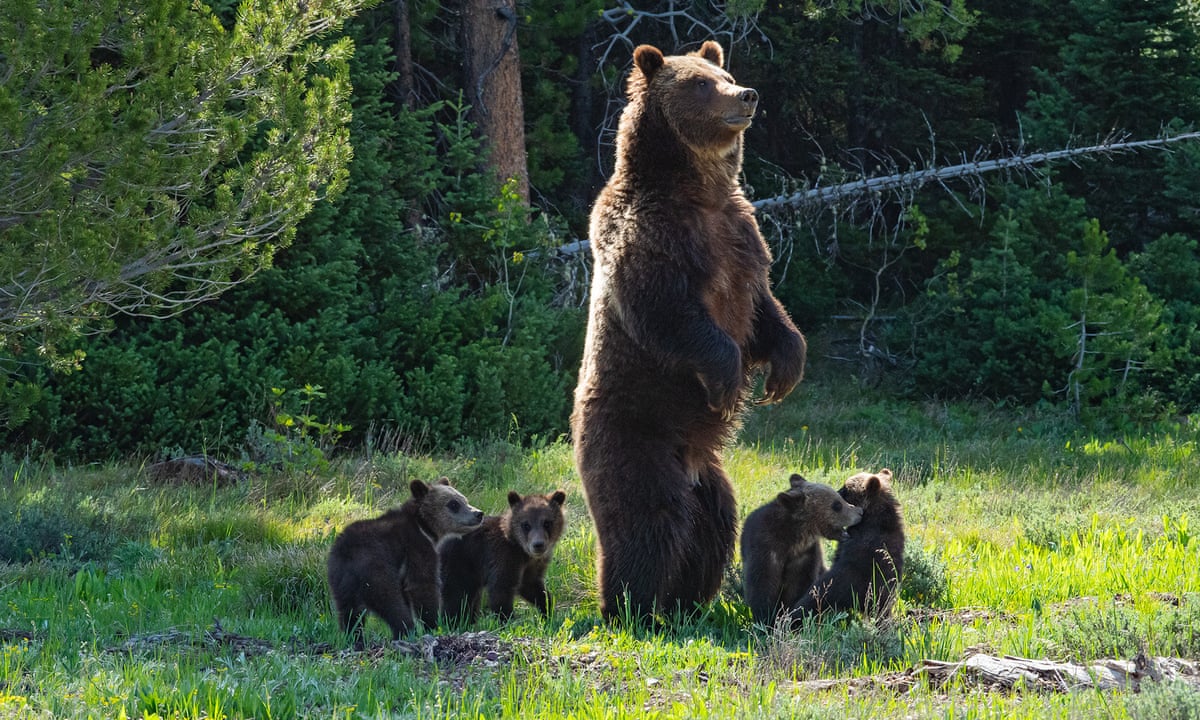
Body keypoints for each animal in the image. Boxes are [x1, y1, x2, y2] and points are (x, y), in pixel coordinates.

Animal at [326, 477, 483, 647]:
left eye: (464, 499)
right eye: (453, 504)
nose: (478, 514)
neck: (424, 526)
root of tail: (348, 554)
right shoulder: (416, 547)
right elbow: (423, 585)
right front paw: (433, 624)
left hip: (340, 580)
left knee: (349, 612)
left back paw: (355, 638)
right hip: (376, 570)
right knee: (392, 603)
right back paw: (405, 631)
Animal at [440, 489, 567, 624]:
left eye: (547, 523)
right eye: (526, 525)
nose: (538, 545)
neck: (521, 550)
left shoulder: (532, 565)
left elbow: (531, 585)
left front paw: (548, 611)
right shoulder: (502, 556)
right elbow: (501, 590)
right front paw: (507, 620)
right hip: (456, 564)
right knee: (456, 597)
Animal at [571, 40, 807, 622]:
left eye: (725, 73)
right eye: (700, 84)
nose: (746, 95)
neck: (699, 191)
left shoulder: (742, 235)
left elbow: (765, 310)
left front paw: (784, 371)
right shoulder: (650, 236)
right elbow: (669, 314)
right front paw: (727, 379)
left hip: (710, 478)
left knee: (712, 525)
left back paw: (689, 602)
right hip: (634, 436)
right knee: (648, 521)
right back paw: (631, 606)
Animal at [740, 474, 864, 625]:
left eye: (840, 498)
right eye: (837, 505)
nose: (860, 512)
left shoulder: (805, 556)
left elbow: (799, 588)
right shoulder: (765, 549)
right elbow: (762, 587)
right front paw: (767, 619)